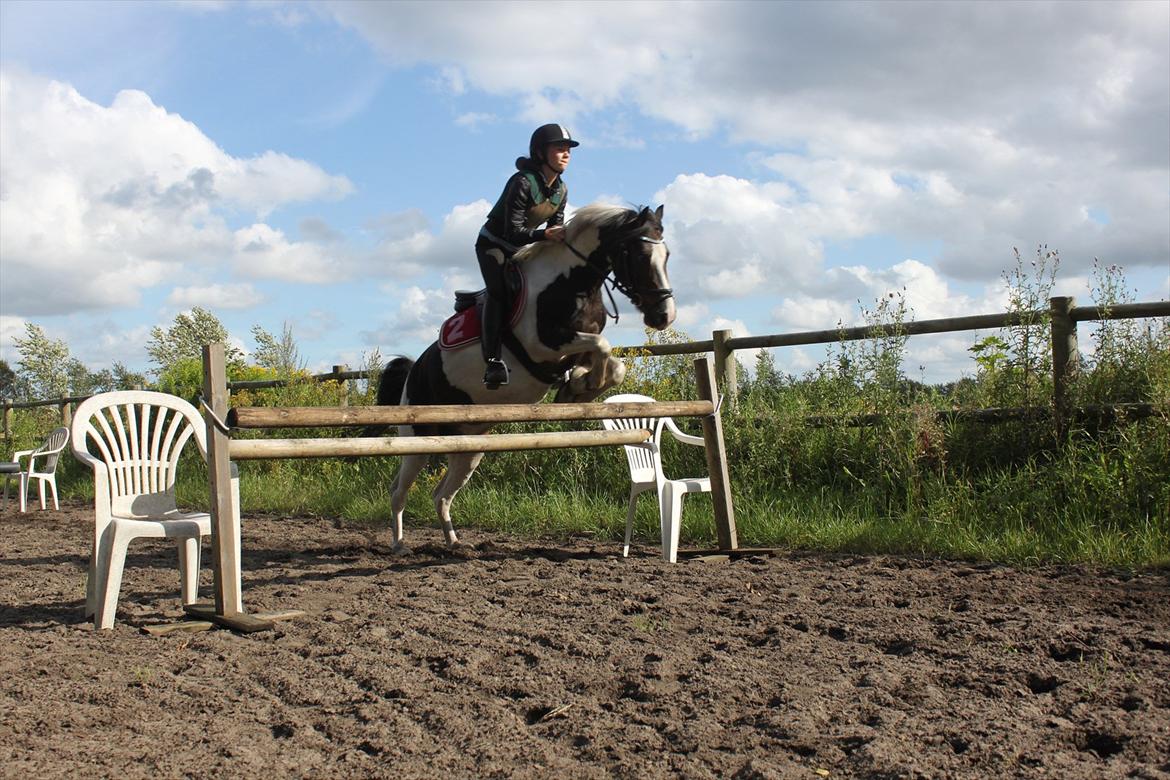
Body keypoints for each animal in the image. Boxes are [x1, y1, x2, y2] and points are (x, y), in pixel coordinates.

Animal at [375, 203, 676, 551]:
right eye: (640, 256)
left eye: (667, 255)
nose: (665, 316)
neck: (570, 282)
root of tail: (414, 371)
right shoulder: (544, 344)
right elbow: (601, 345)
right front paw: (580, 387)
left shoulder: (574, 347)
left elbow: (612, 363)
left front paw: (579, 387)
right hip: (418, 441)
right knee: (398, 491)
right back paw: (399, 543)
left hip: (468, 448)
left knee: (441, 495)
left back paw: (454, 542)